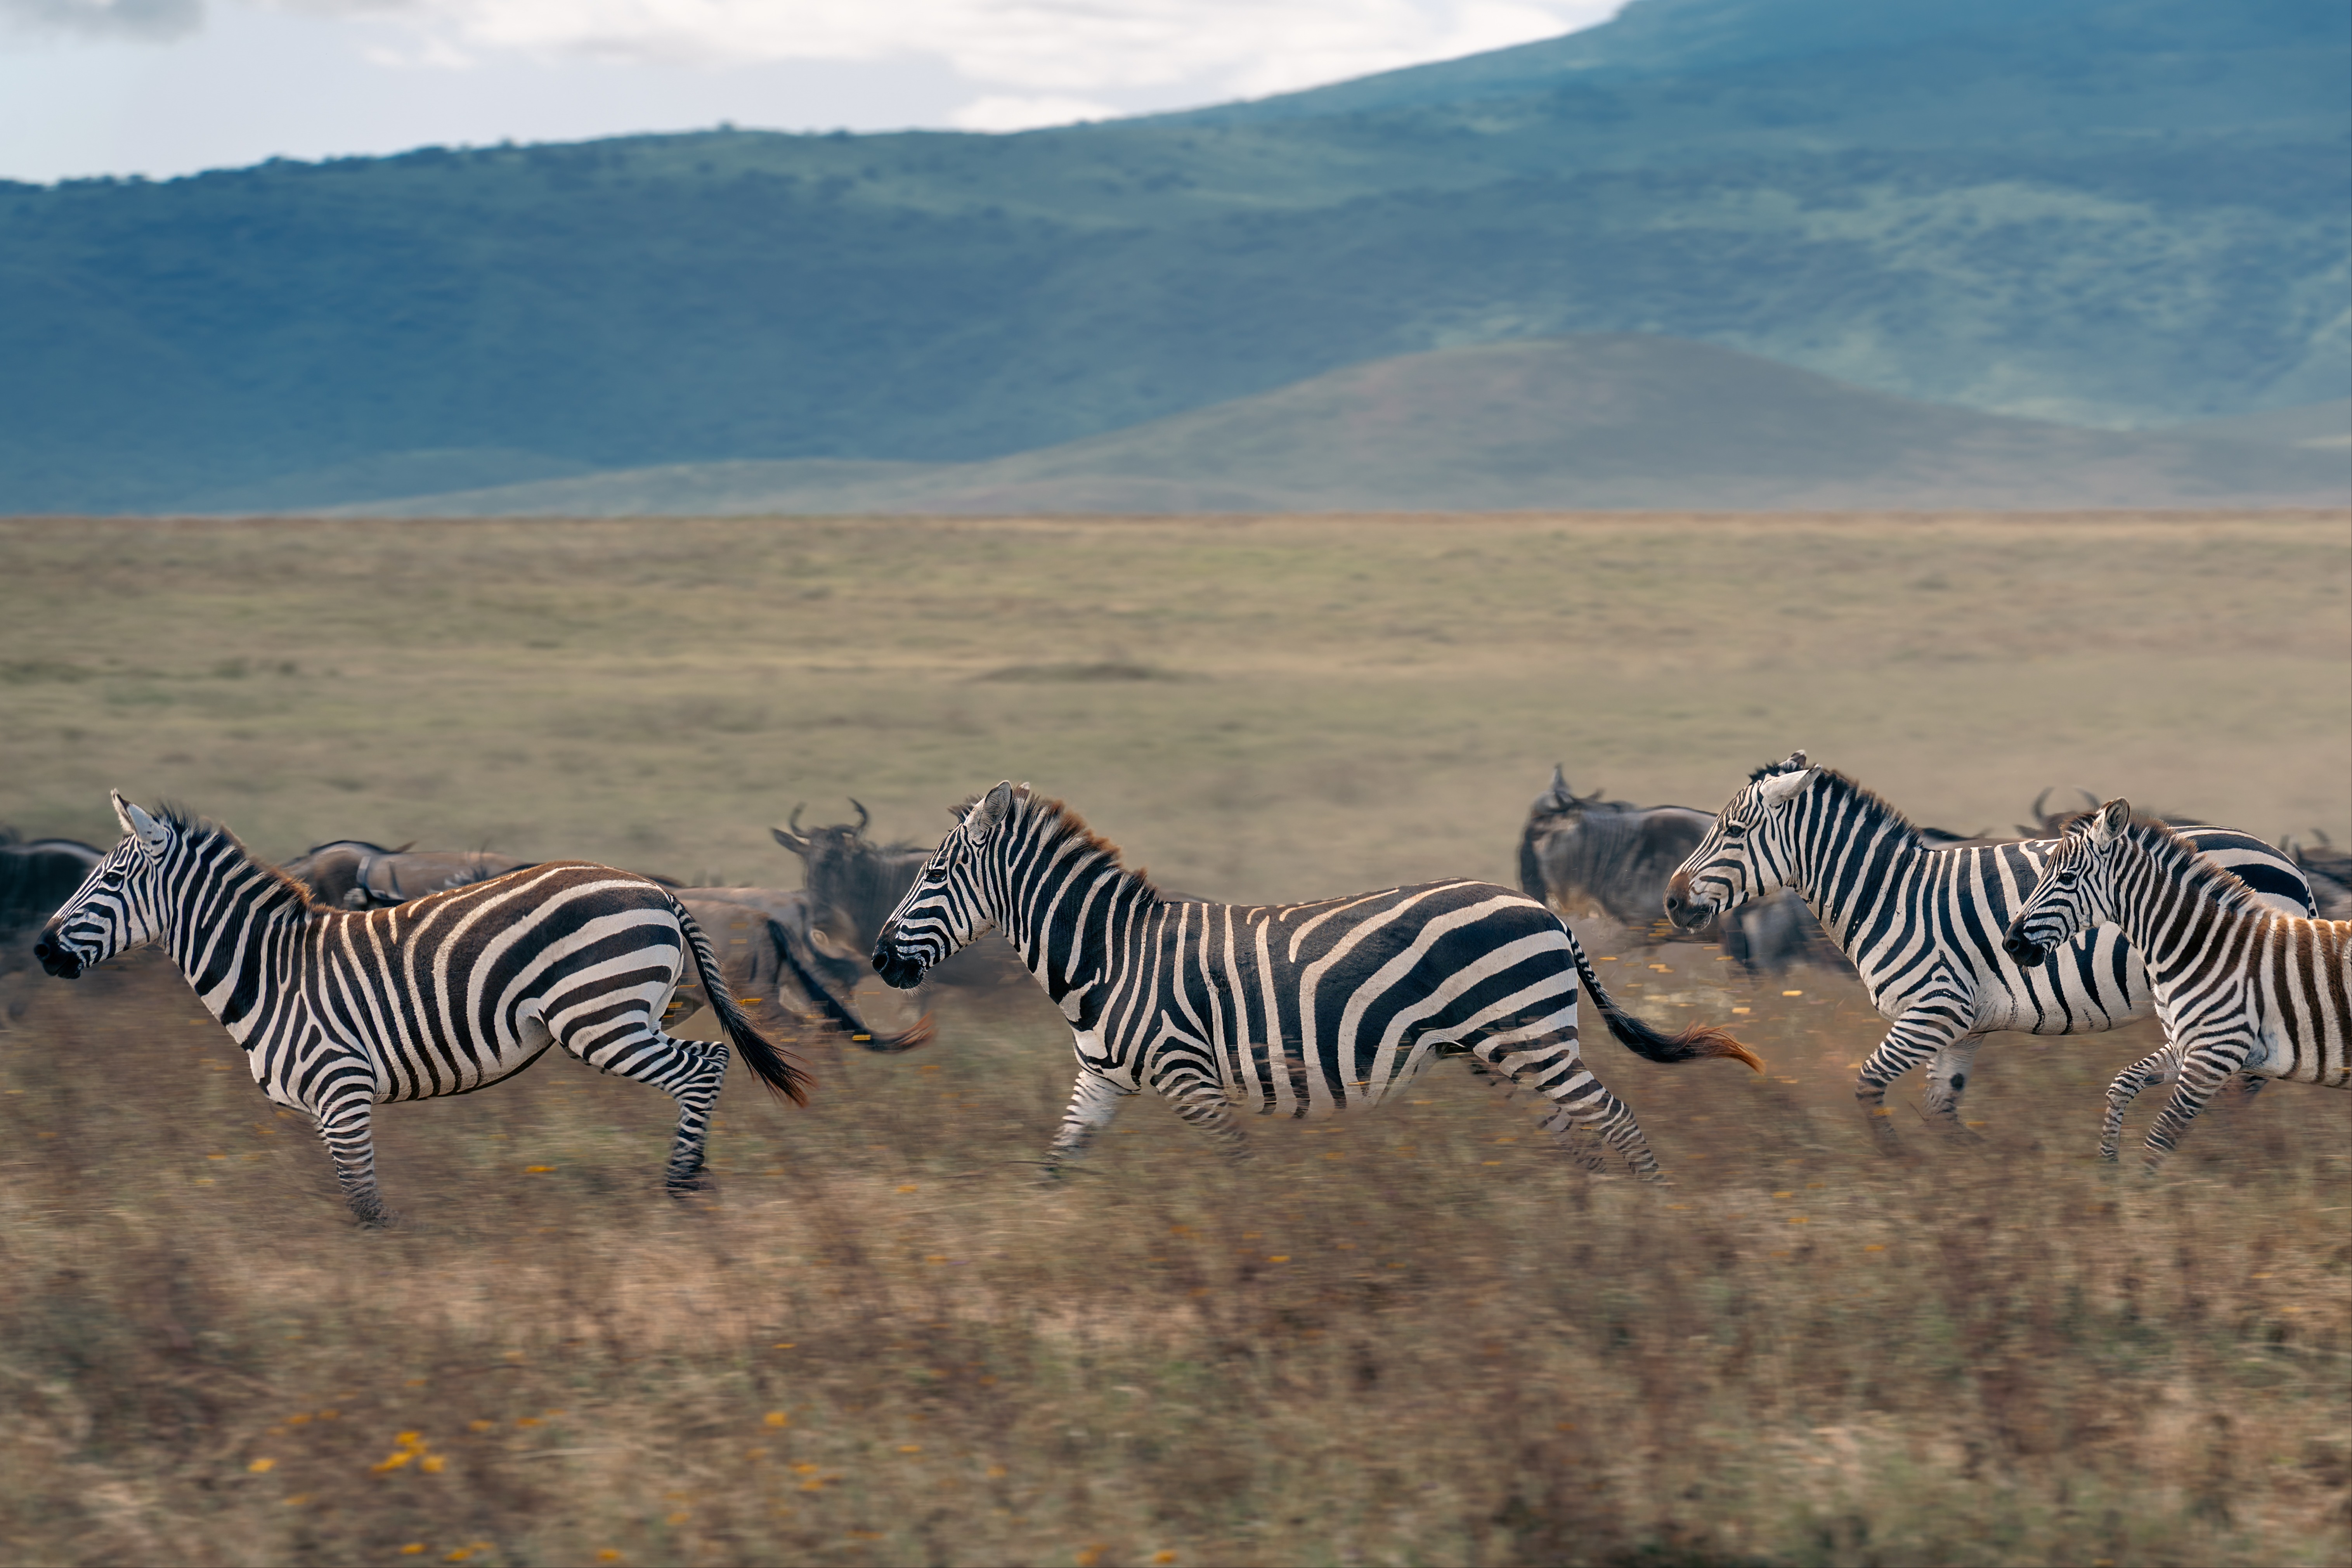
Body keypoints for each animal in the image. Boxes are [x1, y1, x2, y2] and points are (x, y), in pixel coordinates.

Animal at [34, 793, 811, 1225]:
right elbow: (354, 1196)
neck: (272, 969)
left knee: (705, 1065)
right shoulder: (324, 1104)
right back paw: (695, 1173)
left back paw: (681, 1183)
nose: (41, 950)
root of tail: (656, 888)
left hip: (600, 1018)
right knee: (707, 1057)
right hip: (635, 1010)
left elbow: (364, 1205)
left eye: (108, 881)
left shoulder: (341, 1087)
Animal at [869, 782, 1761, 1179]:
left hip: (1530, 1040)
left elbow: (1235, 1167)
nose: (877, 960)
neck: (1108, 954)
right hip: (1502, 1054)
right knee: (1574, 1135)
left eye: (935, 874)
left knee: (1615, 1121)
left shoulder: (1188, 1075)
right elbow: (1057, 1164)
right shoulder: (1102, 1078)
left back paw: (1639, 1228)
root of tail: (1544, 909)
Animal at [1660, 754, 2316, 1143]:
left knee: (2240, 1083)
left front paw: (1899, 1166)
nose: (1670, 901)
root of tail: (2286, 863)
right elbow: (1942, 1109)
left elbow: (1869, 1085)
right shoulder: (1962, 1026)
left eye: (1733, 831)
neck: (1890, 895)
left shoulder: (1933, 1010)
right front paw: (1969, 1177)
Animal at [2002, 798, 2350, 1168]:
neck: (2204, 947)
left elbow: (2161, 1137)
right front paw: (2109, 1166)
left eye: (2066, 878)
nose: (2011, 943)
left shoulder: (2215, 1049)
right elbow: (2123, 1083)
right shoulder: (2187, 1046)